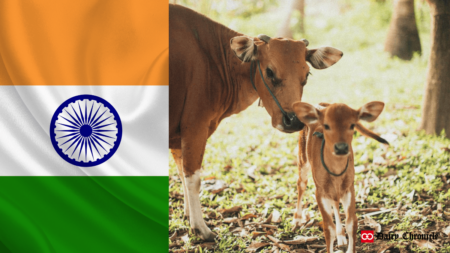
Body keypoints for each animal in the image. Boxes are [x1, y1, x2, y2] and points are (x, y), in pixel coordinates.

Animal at [171, 3, 342, 241]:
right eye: (269, 71)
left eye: (307, 75)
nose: (293, 121)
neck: (213, 60)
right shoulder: (194, 127)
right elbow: (193, 178)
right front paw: (200, 227)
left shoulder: (179, 134)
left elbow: (182, 173)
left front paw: (188, 215)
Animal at [292, 101, 386, 253]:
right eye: (326, 125)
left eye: (352, 125)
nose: (341, 148)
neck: (335, 172)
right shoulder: (320, 191)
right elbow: (327, 227)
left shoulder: (349, 187)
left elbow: (351, 223)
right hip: (302, 158)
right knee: (301, 183)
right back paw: (297, 219)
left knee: (335, 202)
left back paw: (341, 236)